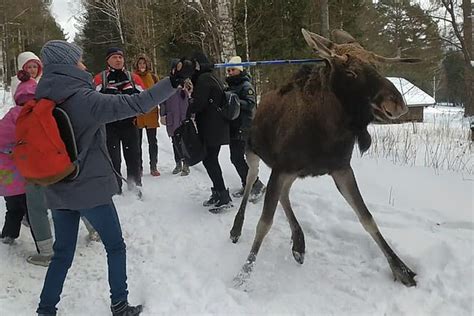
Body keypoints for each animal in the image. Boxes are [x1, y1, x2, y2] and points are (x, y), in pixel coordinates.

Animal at [231, 28, 416, 288]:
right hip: (253, 152)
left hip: (291, 171)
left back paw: (298, 241)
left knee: (284, 193)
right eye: (351, 72)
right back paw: (236, 228)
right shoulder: (282, 167)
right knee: (250, 180)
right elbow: (264, 224)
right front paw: (244, 273)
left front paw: (401, 268)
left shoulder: (340, 168)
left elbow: (367, 217)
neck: (327, 133)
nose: (397, 103)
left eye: (377, 65)